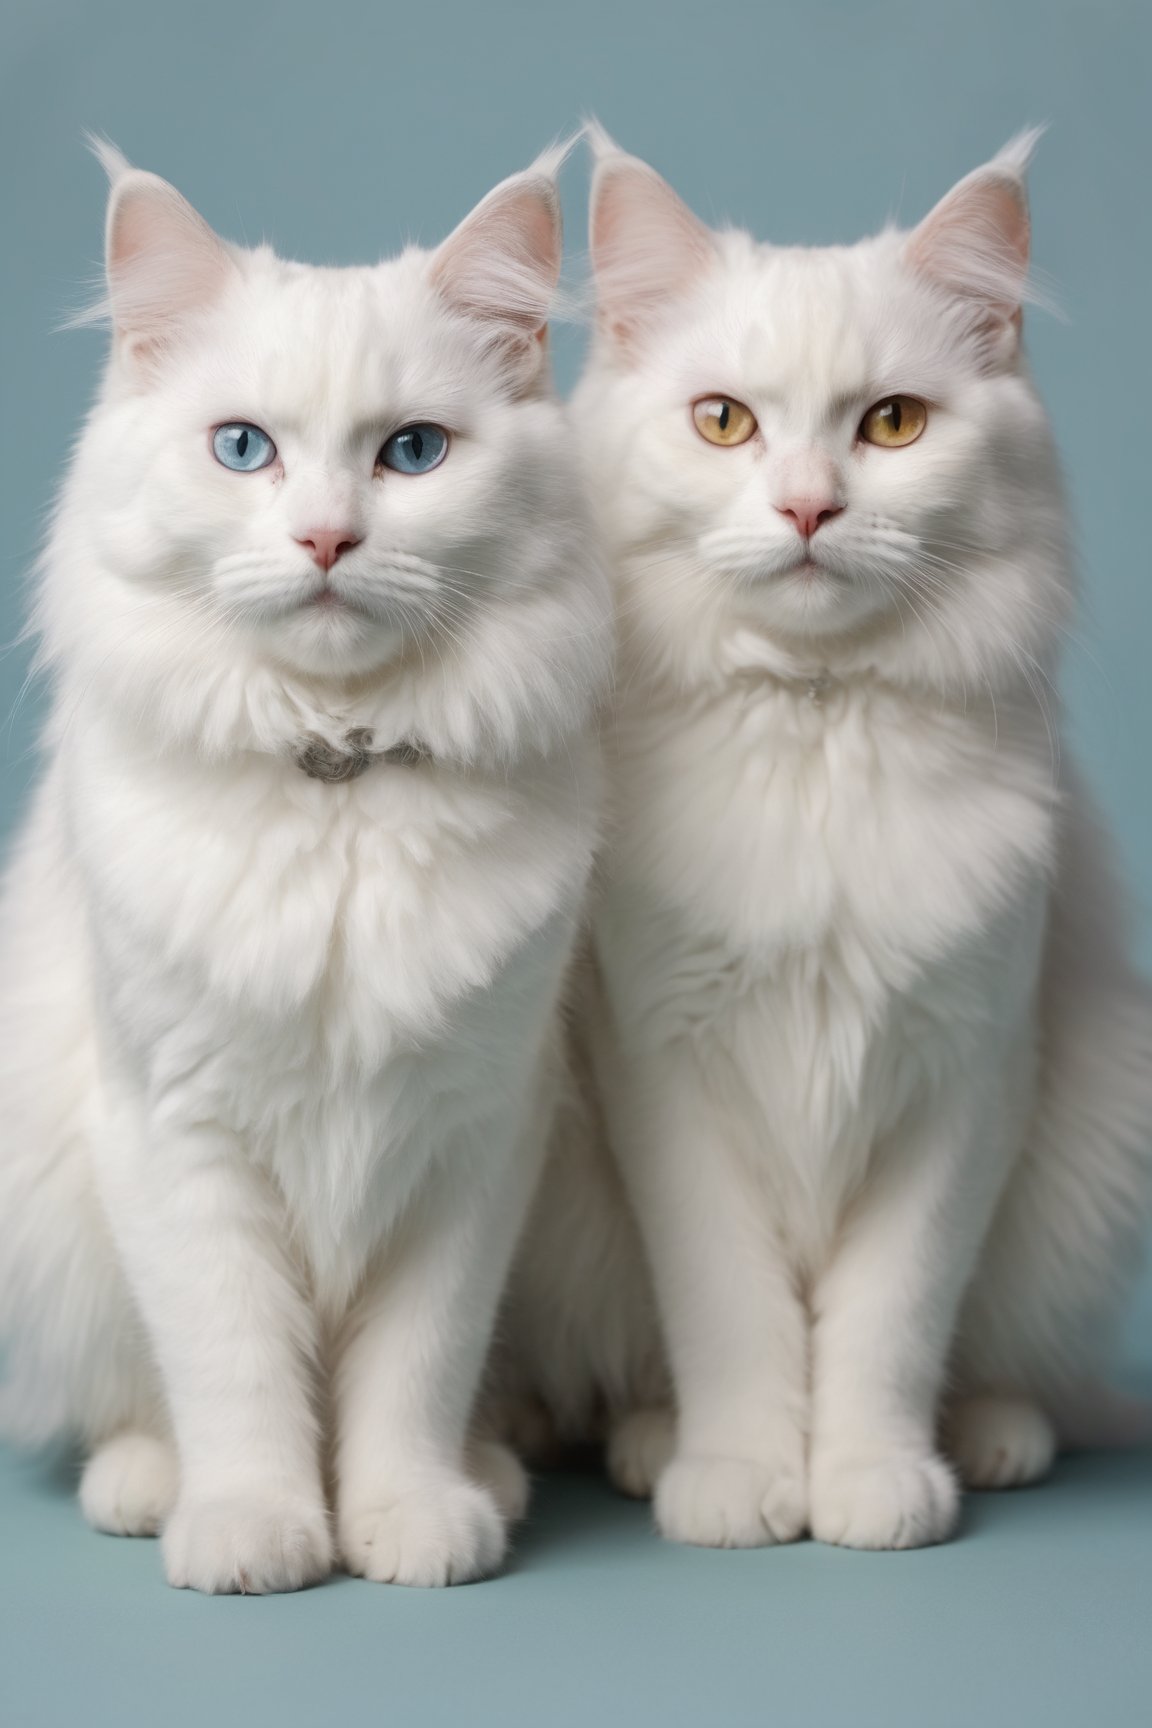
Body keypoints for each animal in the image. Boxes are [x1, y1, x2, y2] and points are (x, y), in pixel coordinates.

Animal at [0, 145, 611, 1589]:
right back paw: (147, 1487)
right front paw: (257, 1531)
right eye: (244, 449)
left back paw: (490, 1479)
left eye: (412, 453)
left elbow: (414, 1373)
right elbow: (237, 1373)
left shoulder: (471, 1144)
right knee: (134, 1403)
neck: (337, 777)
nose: (328, 538)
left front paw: (409, 1521)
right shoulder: (180, 1137)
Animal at [504, 131, 1152, 1555]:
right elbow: (735, 1316)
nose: (807, 508)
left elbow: (888, 1320)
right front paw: (743, 1475)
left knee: (1001, 1361)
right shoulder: (663, 1070)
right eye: (724, 422)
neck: (816, 724)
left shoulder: (965, 1073)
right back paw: (649, 1444)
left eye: (893, 424)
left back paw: (996, 1439)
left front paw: (868, 1479)